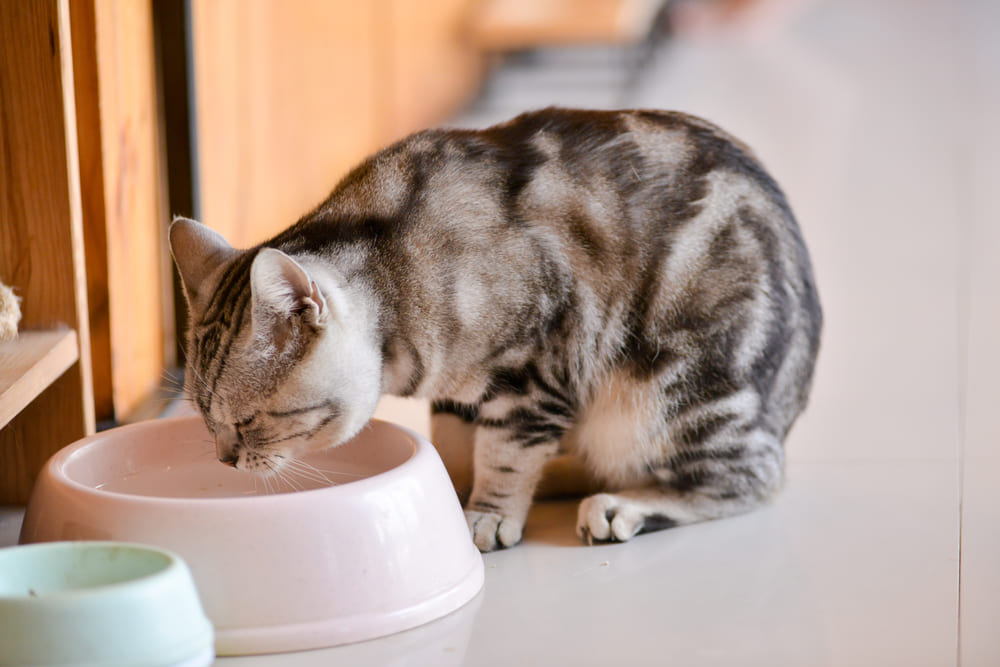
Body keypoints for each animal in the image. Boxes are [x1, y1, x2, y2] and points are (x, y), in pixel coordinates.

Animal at [168, 105, 816, 552]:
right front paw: (449, 484)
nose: (224, 461)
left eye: (248, 423)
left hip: (673, 393)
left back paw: (619, 506)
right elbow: (458, 442)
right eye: (204, 421)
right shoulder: (462, 393)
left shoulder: (538, 368)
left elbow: (505, 453)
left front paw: (487, 514)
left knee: (751, 475)